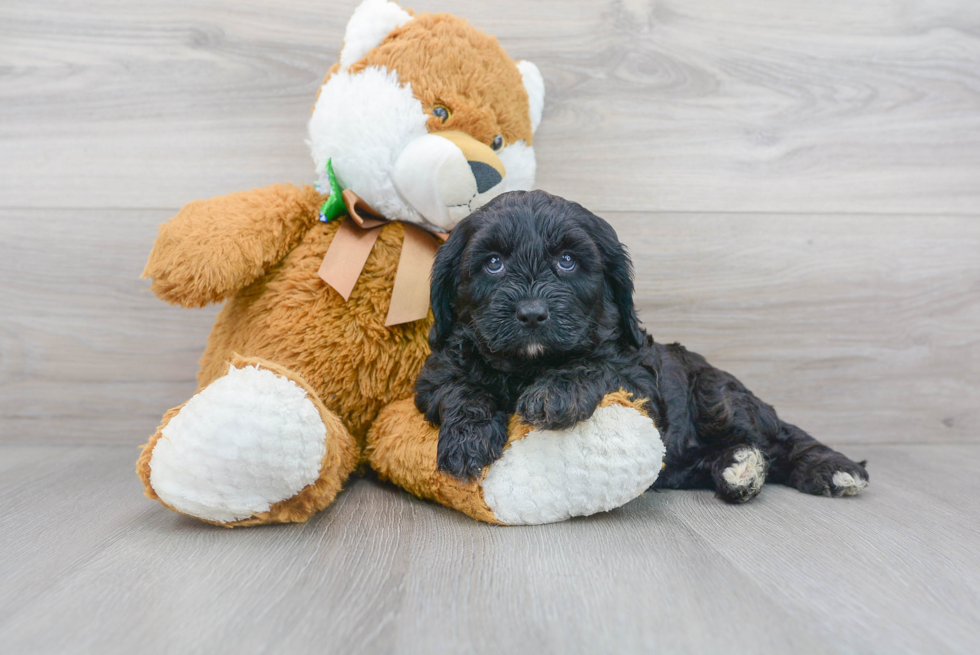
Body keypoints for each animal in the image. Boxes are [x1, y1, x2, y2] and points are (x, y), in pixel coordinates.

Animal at [412, 190, 864, 502]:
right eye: (494, 263)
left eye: (566, 261)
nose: (532, 313)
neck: (527, 366)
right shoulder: (435, 375)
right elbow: (462, 388)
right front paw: (467, 440)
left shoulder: (640, 378)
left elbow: (598, 366)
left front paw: (556, 392)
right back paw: (739, 468)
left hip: (718, 397)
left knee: (781, 437)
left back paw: (831, 470)